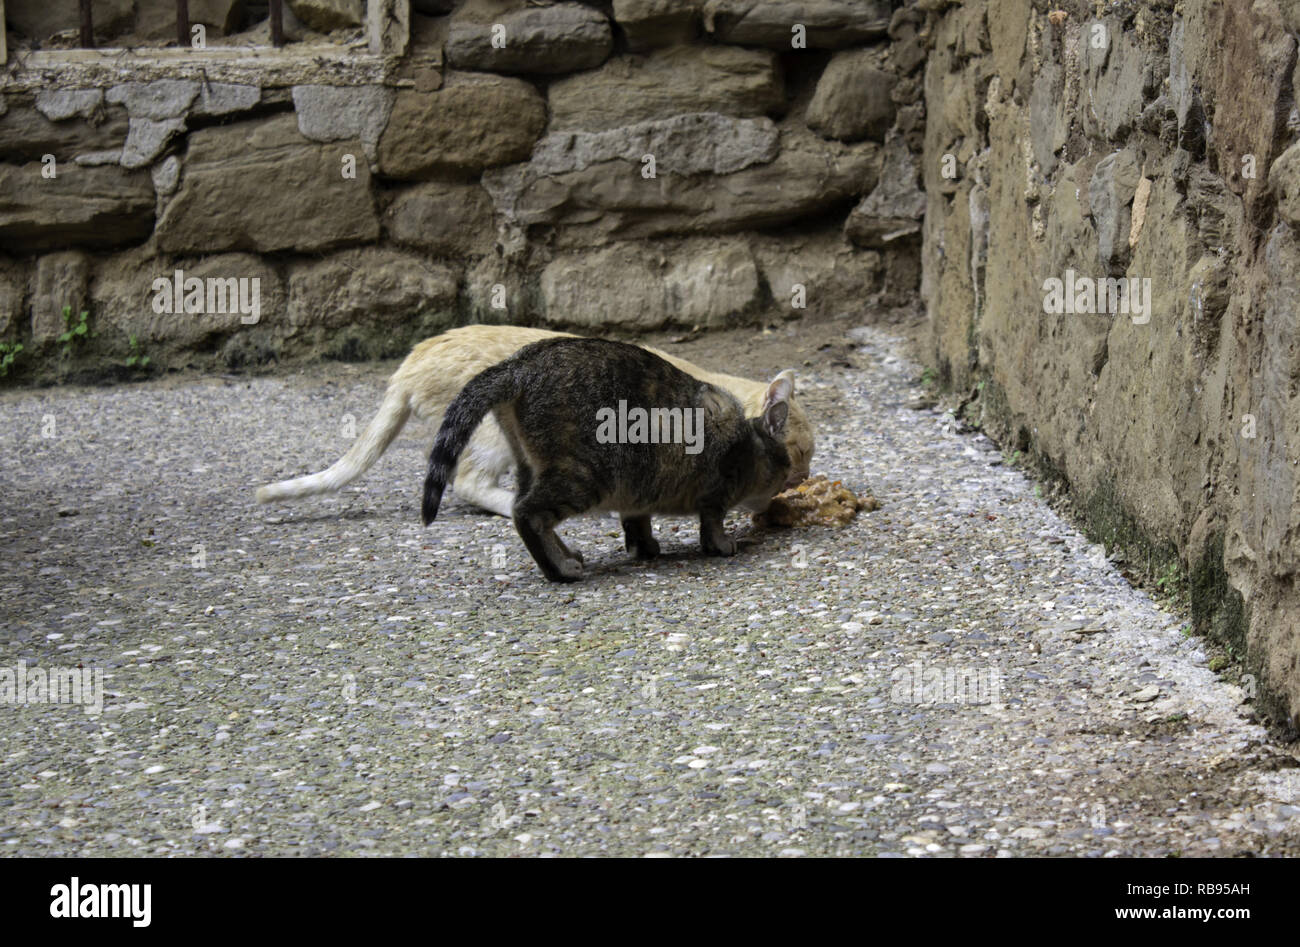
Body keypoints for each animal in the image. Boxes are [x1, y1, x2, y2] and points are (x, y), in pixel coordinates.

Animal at [256, 327, 811, 517]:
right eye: (800, 456)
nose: (803, 478)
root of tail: (413, 357)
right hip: (494, 435)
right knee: (467, 481)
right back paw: (511, 504)